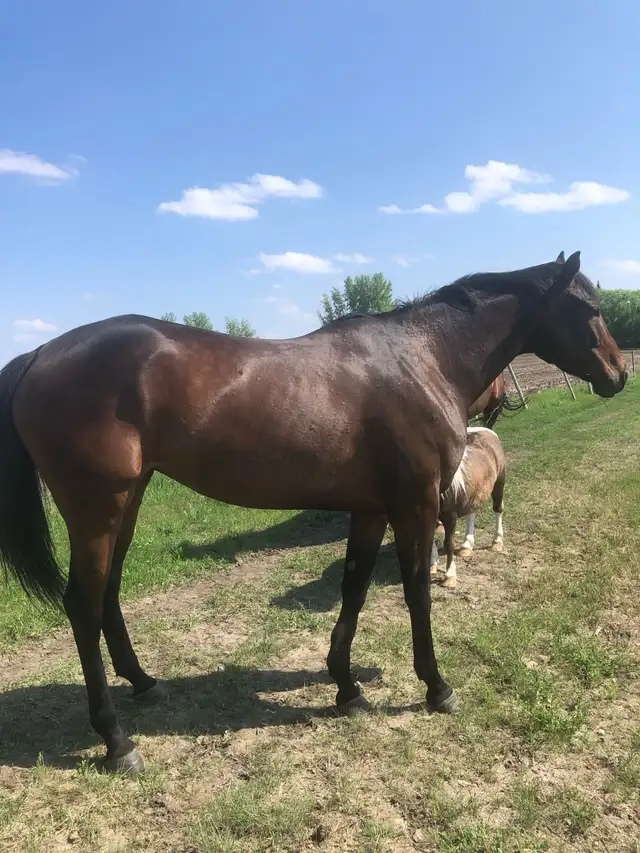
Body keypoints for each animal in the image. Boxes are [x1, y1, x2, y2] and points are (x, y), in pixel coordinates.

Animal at [431, 426, 506, 589]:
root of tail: (487, 430)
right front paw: (432, 565)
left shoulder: (450, 516)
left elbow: (449, 543)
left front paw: (449, 576)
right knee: (471, 513)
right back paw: (466, 546)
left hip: (499, 482)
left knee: (498, 509)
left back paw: (497, 542)